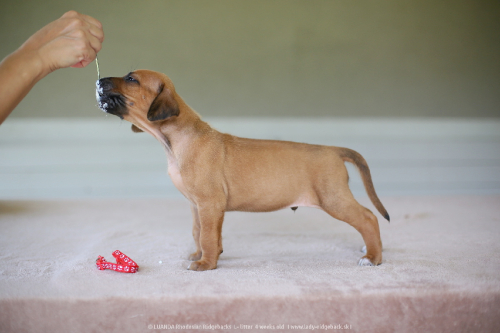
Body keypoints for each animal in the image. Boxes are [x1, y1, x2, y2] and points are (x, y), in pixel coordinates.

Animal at [94, 70, 390, 270]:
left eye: (131, 79)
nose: (98, 81)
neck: (176, 140)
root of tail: (333, 150)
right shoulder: (198, 206)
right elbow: (200, 232)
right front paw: (203, 254)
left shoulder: (209, 203)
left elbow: (207, 235)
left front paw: (205, 264)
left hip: (333, 198)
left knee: (368, 218)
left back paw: (373, 257)